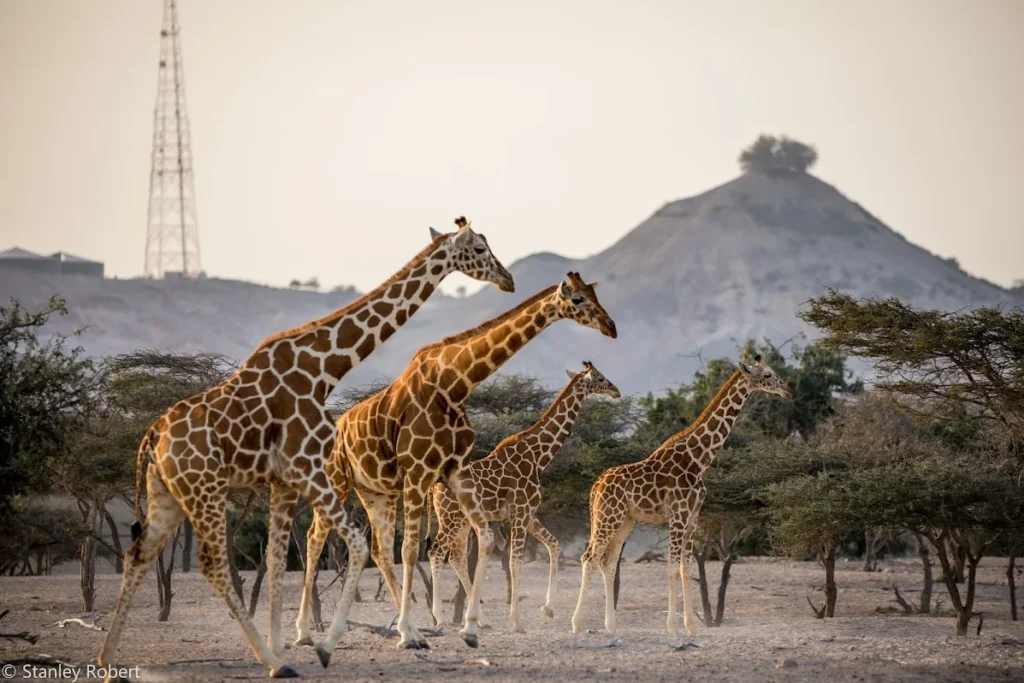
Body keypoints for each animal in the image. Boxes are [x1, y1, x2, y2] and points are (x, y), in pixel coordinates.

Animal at [425, 360, 618, 634]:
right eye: (600, 378)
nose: (616, 391)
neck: (538, 458)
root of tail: (435, 487)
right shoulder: (520, 512)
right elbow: (515, 562)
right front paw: (517, 621)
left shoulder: (528, 514)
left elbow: (554, 544)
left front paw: (548, 608)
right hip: (450, 518)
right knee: (436, 552)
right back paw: (440, 618)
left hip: (461, 521)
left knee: (456, 557)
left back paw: (481, 619)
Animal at [569, 356, 790, 638]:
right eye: (769, 375)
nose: (787, 390)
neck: (699, 460)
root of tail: (595, 486)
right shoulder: (677, 516)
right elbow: (672, 568)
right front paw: (672, 626)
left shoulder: (693, 518)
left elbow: (686, 568)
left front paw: (691, 626)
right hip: (608, 517)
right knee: (589, 557)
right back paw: (577, 624)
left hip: (624, 520)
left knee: (607, 562)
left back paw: (611, 626)